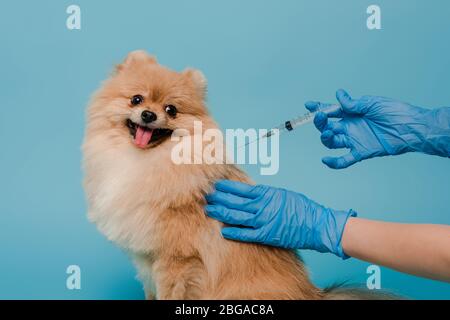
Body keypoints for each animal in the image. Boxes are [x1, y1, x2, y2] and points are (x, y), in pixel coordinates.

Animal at [83, 50, 390, 300]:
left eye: (171, 110)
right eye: (136, 99)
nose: (148, 114)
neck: (144, 162)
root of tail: (313, 295)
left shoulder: (177, 261)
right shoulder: (146, 261)